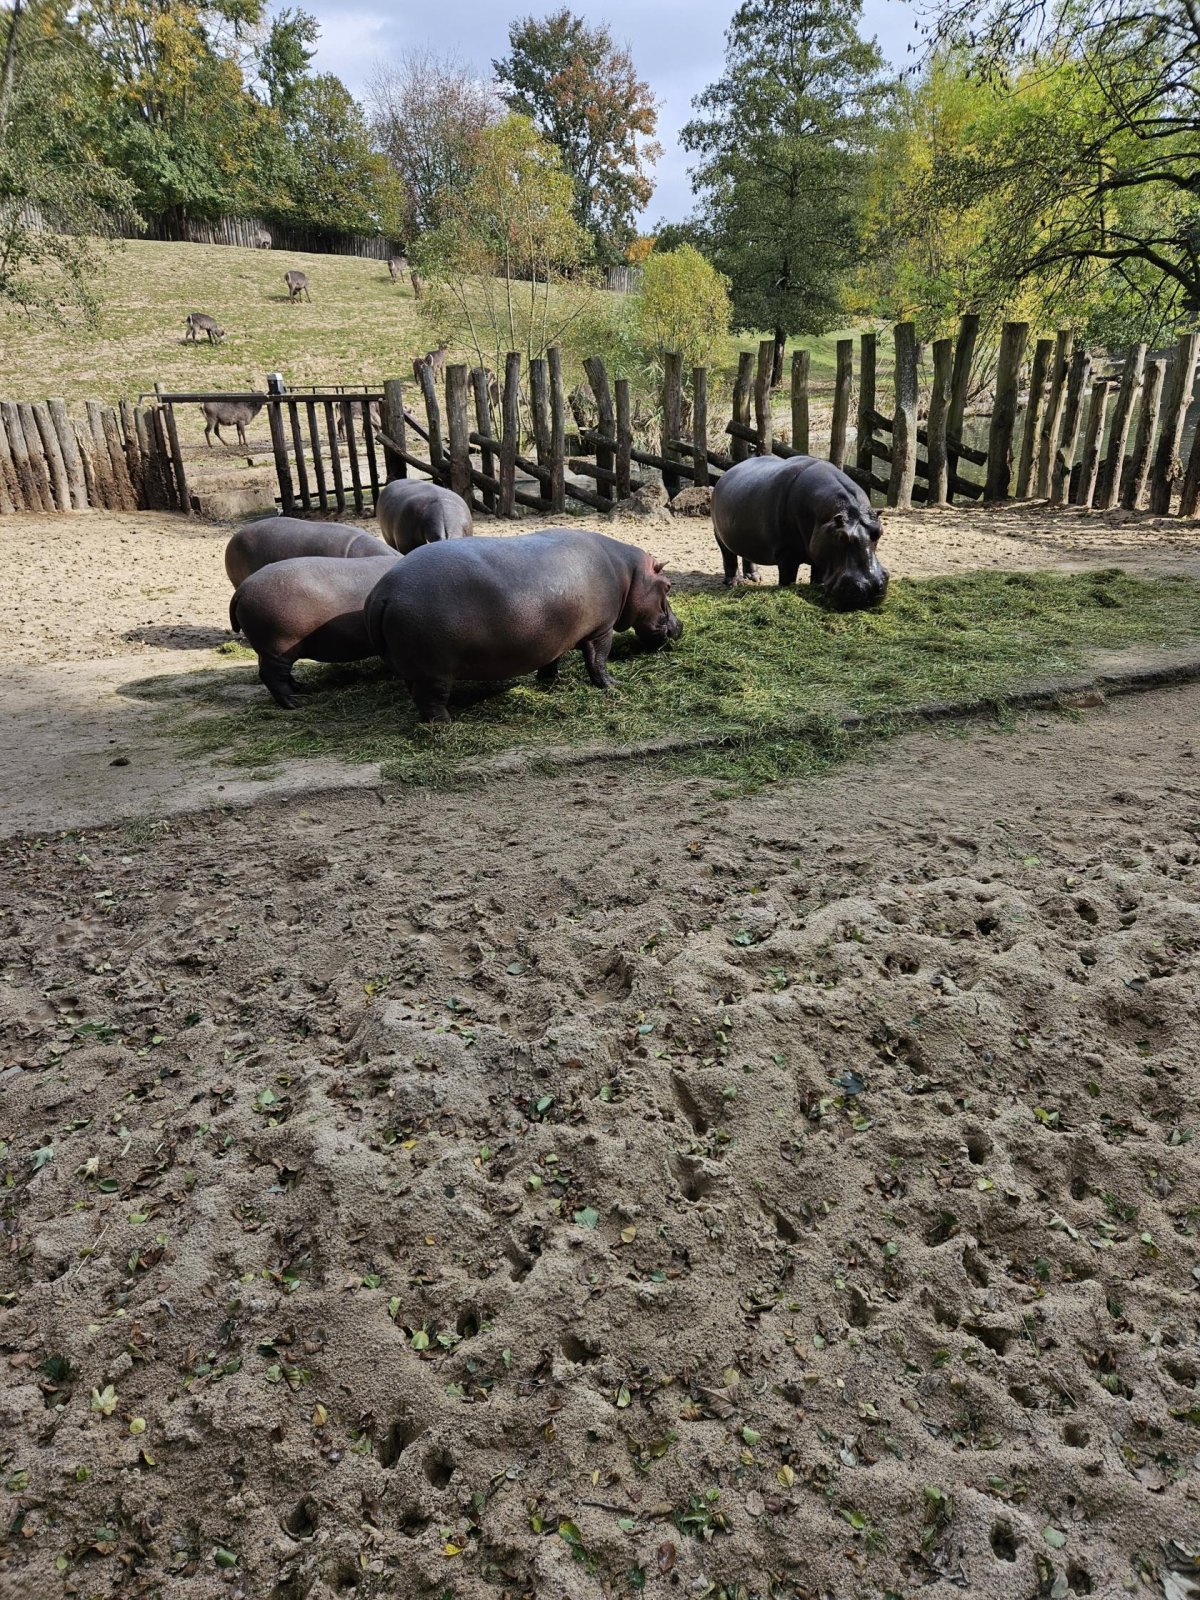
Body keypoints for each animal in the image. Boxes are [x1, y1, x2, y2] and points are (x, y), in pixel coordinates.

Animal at [230, 554, 398, 708]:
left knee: (278, 674)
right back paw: (296, 702)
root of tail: (242, 589)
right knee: (272, 676)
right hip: (278, 649)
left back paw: (300, 687)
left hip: (268, 650)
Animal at [364, 529, 682, 722]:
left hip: (414, 668)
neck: (629, 573)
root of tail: (383, 594)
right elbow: (598, 661)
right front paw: (614, 685)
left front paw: (550, 682)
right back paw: (446, 724)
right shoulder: (601, 630)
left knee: (418, 696)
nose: (680, 627)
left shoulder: (555, 636)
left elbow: (552, 660)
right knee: (432, 701)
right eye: (668, 585)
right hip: (434, 670)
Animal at [711, 455, 888, 610]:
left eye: (879, 531)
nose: (871, 587)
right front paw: (786, 590)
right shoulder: (787, 552)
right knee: (729, 557)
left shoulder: (821, 548)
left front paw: (817, 586)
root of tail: (725, 474)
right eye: (841, 537)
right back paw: (735, 583)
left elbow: (818, 575)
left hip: (745, 535)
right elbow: (787, 577)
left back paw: (754, 578)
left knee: (747, 554)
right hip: (719, 535)